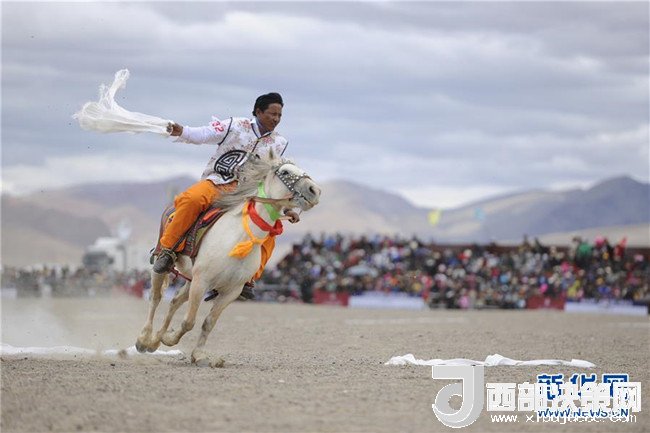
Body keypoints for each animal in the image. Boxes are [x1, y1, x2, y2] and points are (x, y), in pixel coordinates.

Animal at [135, 149, 320, 364]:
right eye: (285, 171)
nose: (315, 190)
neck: (238, 237)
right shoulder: (202, 281)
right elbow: (189, 321)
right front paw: (170, 339)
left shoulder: (231, 291)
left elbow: (208, 323)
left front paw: (198, 354)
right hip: (164, 264)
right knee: (156, 298)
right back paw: (144, 339)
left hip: (191, 279)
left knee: (174, 302)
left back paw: (155, 340)